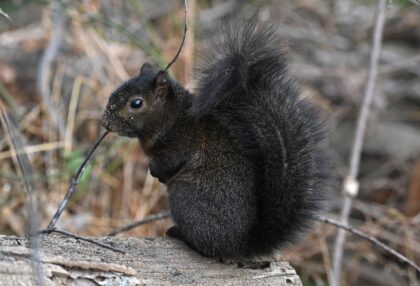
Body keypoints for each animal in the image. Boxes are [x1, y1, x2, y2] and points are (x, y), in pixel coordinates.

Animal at [102, 16, 332, 260]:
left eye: (136, 103)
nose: (105, 122)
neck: (171, 118)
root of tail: (241, 246)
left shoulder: (180, 144)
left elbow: (168, 162)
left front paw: (156, 172)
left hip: (184, 197)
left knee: (206, 247)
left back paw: (179, 234)